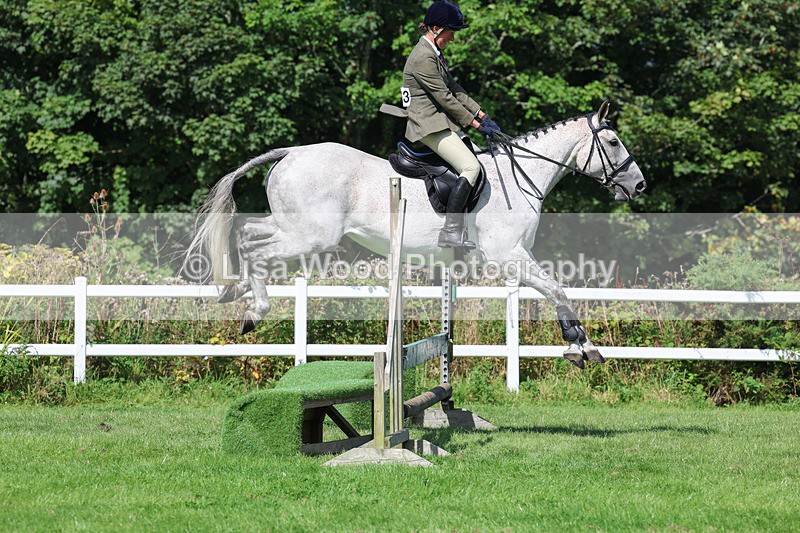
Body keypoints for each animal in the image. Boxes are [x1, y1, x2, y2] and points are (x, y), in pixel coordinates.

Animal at [186, 101, 646, 368]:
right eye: (613, 142)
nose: (639, 185)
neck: (521, 178)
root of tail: (293, 153)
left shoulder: (514, 257)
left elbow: (554, 289)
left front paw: (583, 345)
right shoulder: (507, 256)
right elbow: (557, 289)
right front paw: (580, 347)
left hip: (294, 227)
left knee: (248, 233)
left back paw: (235, 291)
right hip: (310, 235)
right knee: (253, 246)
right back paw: (254, 309)